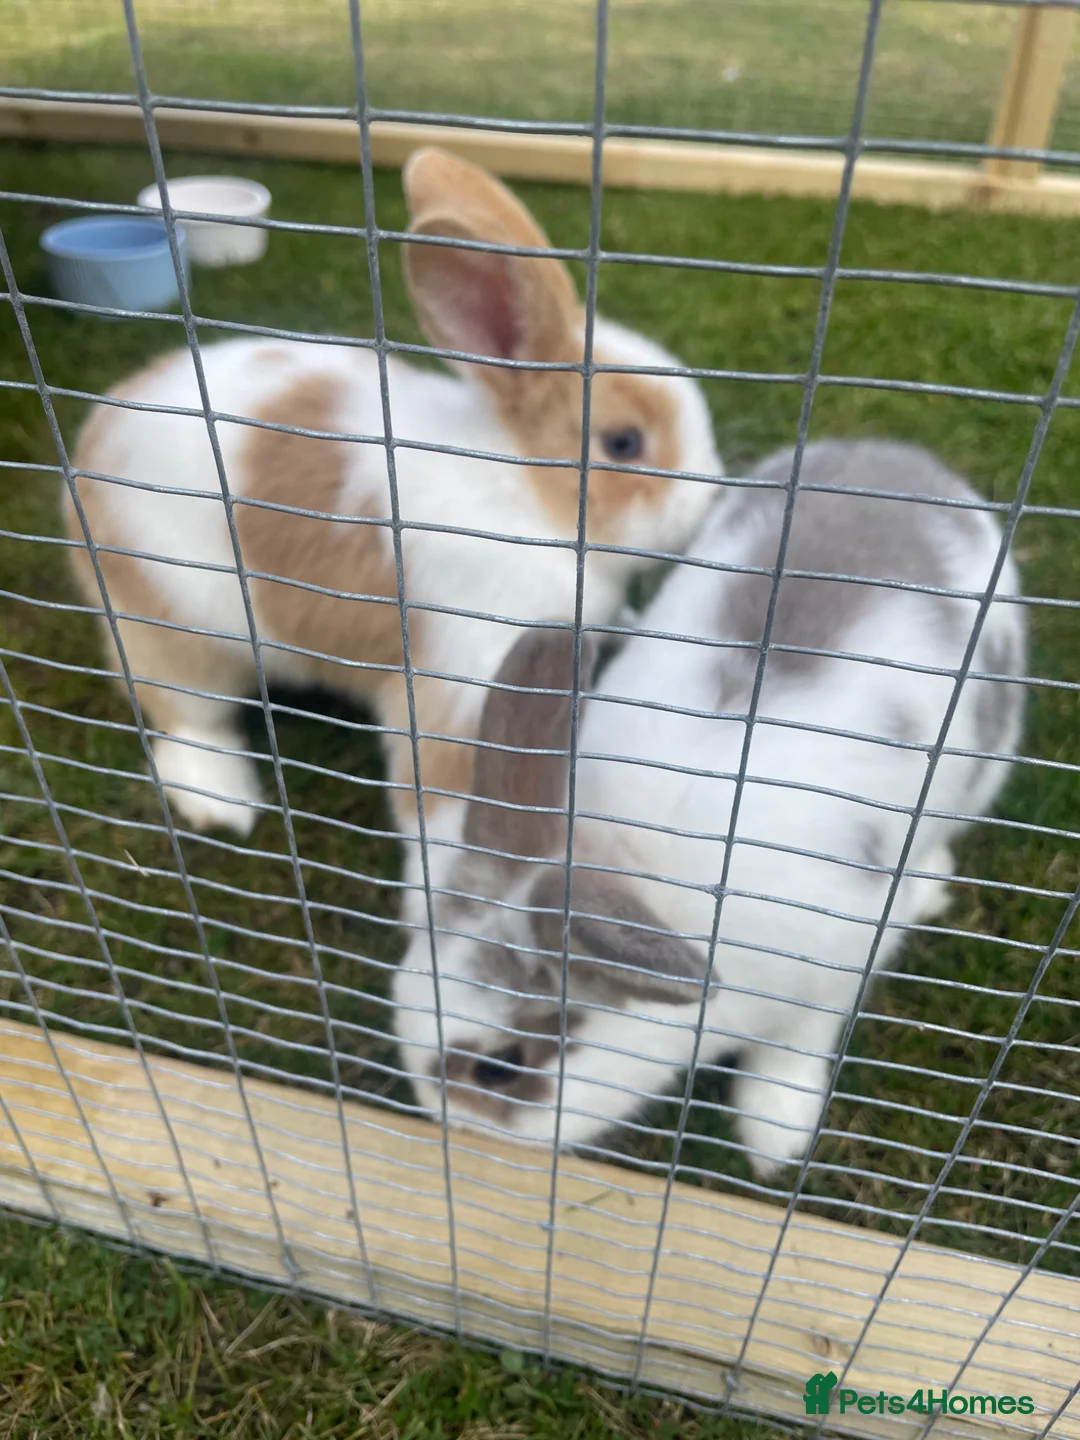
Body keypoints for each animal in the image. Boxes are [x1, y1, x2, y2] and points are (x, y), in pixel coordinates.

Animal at [65, 147, 721, 872]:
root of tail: (87, 450)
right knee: (185, 714)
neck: (528, 490)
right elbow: (444, 805)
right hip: (173, 625)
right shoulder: (460, 682)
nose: (713, 496)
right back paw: (224, 803)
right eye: (624, 443)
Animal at [391, 439, 1027, 1177]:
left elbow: (795, 1049)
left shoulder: (833, 970)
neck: (633, 873)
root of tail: (896, 456)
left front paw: (775, 1136)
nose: (446, 1129)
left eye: (500, 1068)